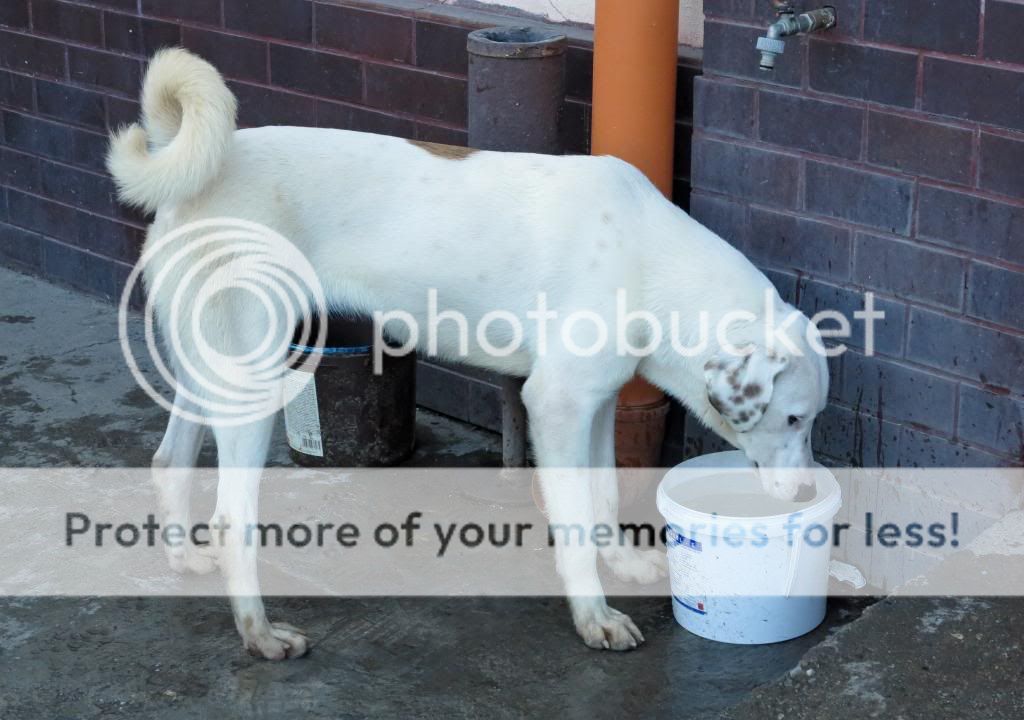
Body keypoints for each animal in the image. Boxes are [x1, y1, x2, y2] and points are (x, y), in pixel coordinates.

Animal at [108, 49, 831, 659]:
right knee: (232, 517)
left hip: (209, 370)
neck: (650, 259)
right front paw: (593, 615)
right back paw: (259, 634)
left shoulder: (596, 406)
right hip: (252, 380)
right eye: (794, 419)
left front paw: (623, 564)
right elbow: (574, 520)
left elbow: (602, 495)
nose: (804, 493)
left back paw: (185, 561)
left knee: (170, 461)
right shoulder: (557, 405)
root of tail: (190, 173)